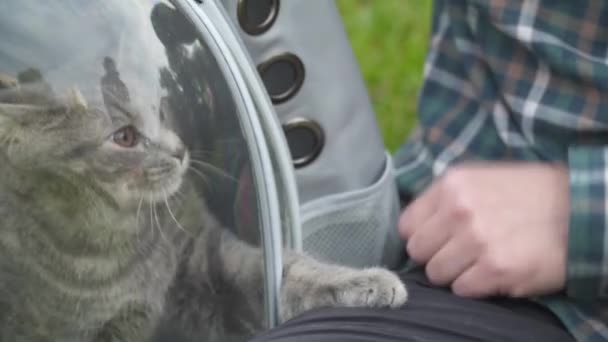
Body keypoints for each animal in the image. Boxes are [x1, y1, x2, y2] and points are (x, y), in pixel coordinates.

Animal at [0, 87, 408, 340]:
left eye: (159, 112)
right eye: (125, 136)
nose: (181, 149)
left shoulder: (202, 256)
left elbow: (291, 269)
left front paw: (365, 282)